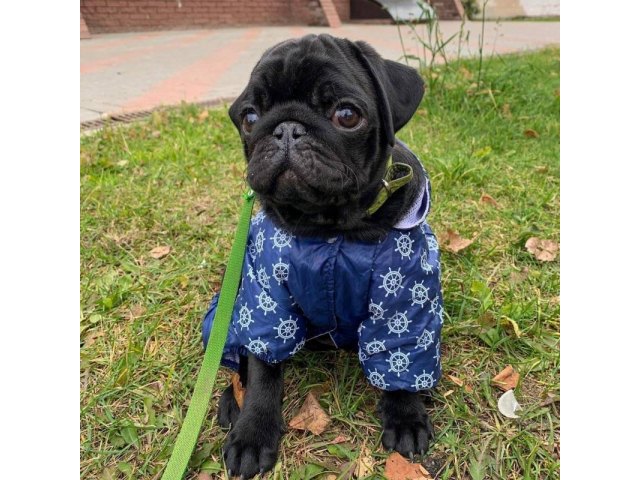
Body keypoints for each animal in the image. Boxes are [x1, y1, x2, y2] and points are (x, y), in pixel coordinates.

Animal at [202, 33, 442, 476]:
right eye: (249, 118)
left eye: (346, 115)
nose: (285, 129)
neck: (330, 231)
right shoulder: (266, 304)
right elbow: (262, 371)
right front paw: (253, 433)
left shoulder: (404, 303)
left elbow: (400, 359)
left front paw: (405, 416)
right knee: (239, 362)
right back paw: (231, 403)